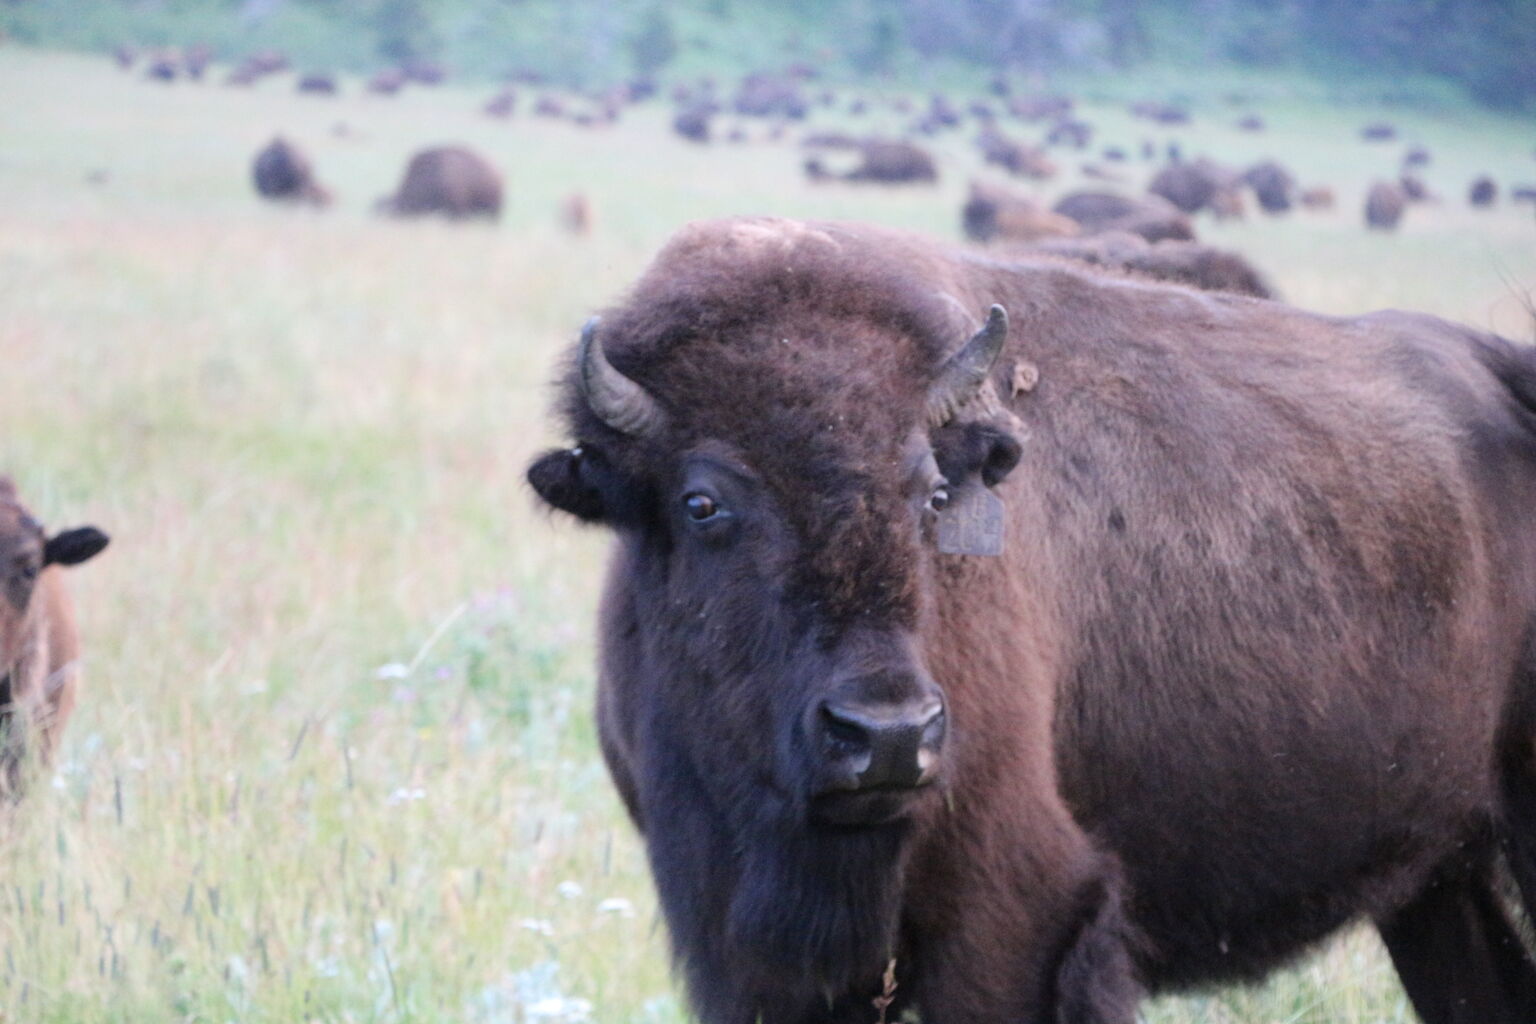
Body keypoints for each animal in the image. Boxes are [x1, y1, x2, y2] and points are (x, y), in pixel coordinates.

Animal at [525, 216, 1536, 1024]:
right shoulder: (745, 952)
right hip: (1439, 883)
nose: (887, 737)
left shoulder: (1019, 922)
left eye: (933, 491)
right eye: (701, 504)